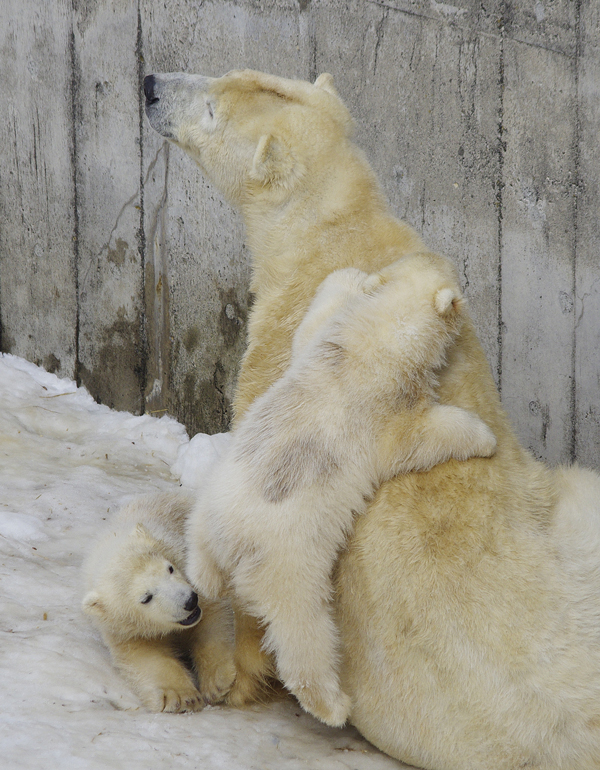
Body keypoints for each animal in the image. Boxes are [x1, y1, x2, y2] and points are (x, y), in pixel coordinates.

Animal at [144, 69, 600, 764]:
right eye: (223, 73)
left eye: (211, 106)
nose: (148, 83)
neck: (334, 227)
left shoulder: (278, 356)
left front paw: (234, 675)